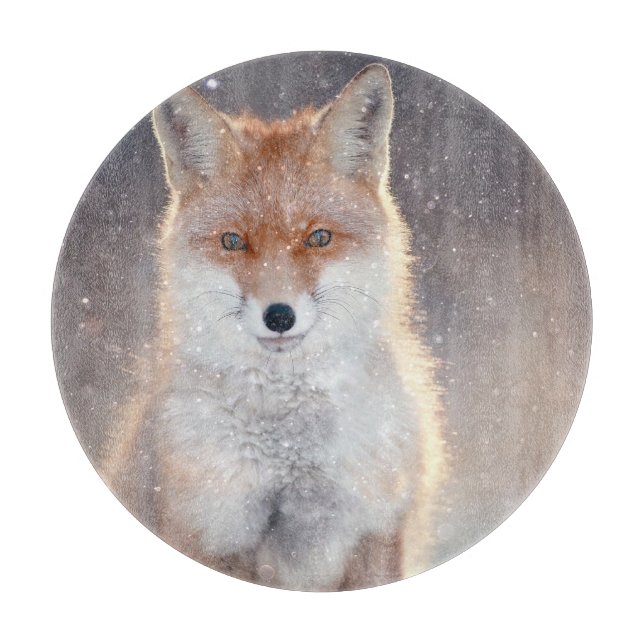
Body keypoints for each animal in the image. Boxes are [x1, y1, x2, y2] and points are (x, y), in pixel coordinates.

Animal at [102, 63, 446, 591]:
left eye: (318, 237)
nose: (279, 316)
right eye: (233, 241)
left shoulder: (376, 531)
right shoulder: (212, 534)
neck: (291, 456)